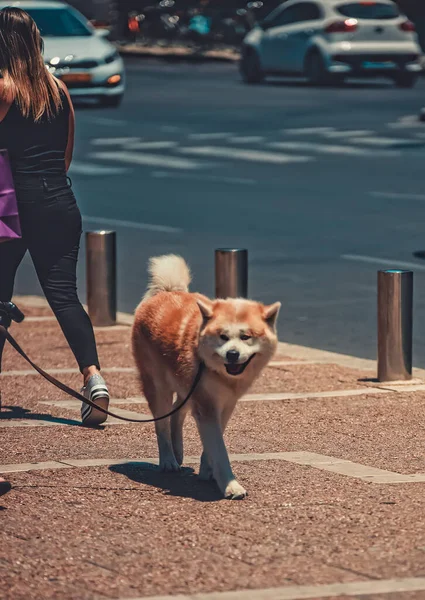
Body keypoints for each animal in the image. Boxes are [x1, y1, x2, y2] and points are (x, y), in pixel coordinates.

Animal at [131, 255, 280, 500]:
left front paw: (207, 470)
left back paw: (178, 450)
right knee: (162, 424)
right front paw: (230, 484)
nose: (232, 354)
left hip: (186, 385)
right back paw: (168, 459)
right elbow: (218, 448)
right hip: (159, 386)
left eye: (246, 337)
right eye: (222, 337)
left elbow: (213, 441)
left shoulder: (225, 403)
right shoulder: (206, 403)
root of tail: (166, 291)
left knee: (177, 412)